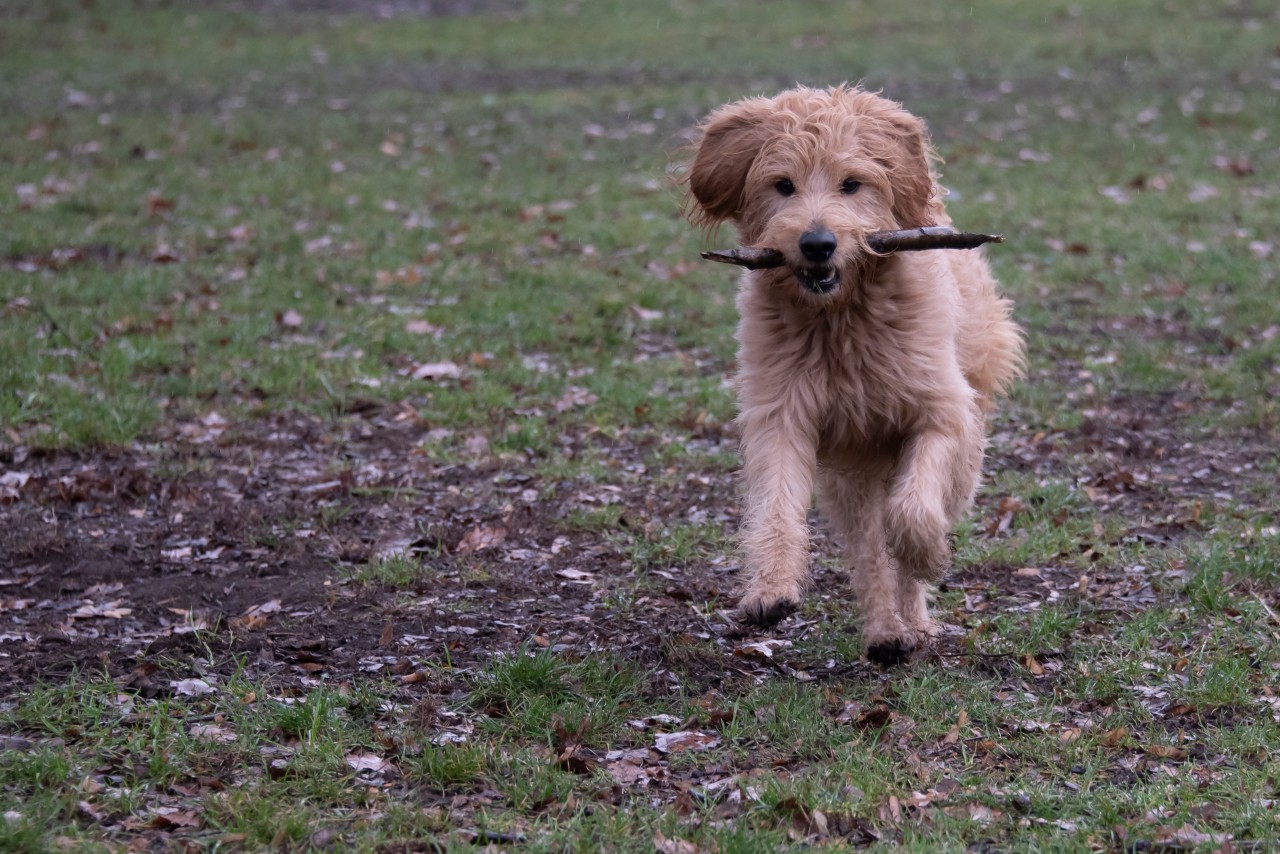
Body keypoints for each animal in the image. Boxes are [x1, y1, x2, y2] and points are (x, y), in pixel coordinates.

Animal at [686, 83, 1024, 665]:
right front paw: (771, 588)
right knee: (868, 547)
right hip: (852, 470)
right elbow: (777, 506)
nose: (817, 244)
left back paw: (912, 617)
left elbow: (913, 509)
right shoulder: (782, 414)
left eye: (851, 183)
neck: (840, 317)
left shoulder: (941, 413)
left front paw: (926, 555)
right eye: (783, 185)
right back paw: (886, 632)